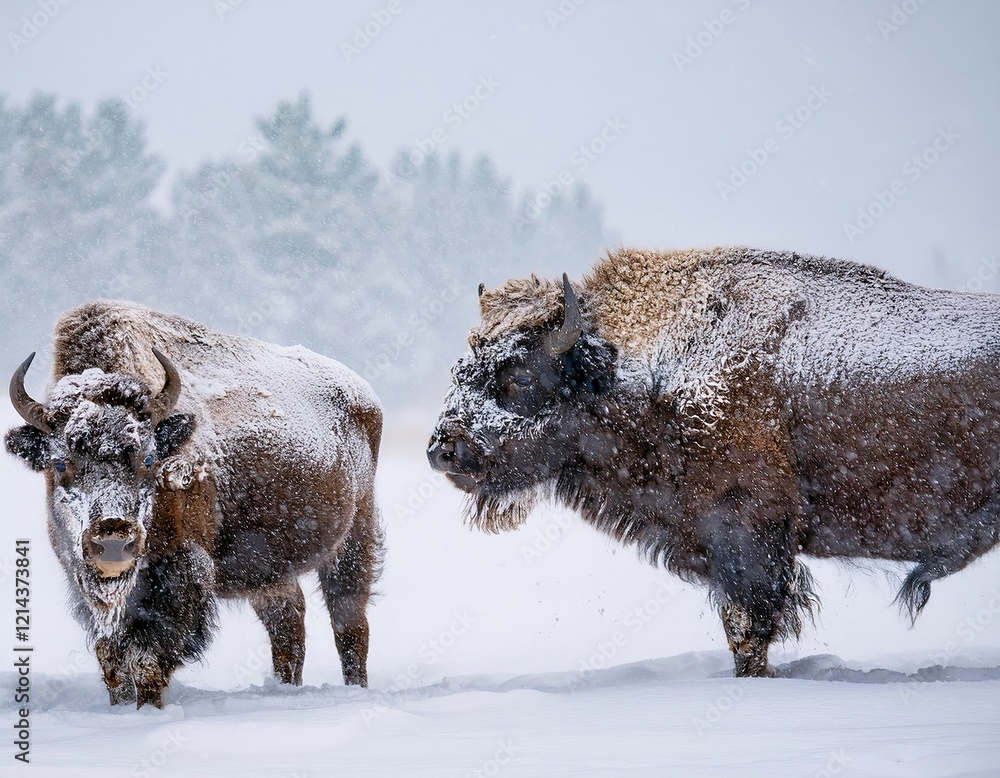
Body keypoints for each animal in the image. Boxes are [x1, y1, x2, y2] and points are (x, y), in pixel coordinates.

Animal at [6, 301, 383, 707]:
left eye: (150, 458)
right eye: (60, 463)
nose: (113, 541)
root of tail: (363, 395)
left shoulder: (181, 572)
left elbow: (146, 659)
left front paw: (149, 707)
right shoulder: (85, 583)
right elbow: (113, 661)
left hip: (353, 540)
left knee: (349, 625)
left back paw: (354, 689)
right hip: (269, 568)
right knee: (287, 622)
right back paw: (287, 688)